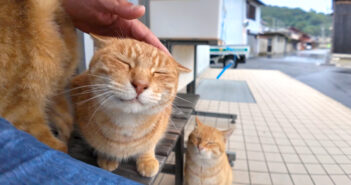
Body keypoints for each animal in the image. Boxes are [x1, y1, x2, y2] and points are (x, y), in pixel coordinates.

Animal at [71, 35, 190, 178]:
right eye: (124, 62)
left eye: (159, 72)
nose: (140, 85)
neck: (127, 124)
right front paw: (107, 156)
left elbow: (149, 144)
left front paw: (147, 159)